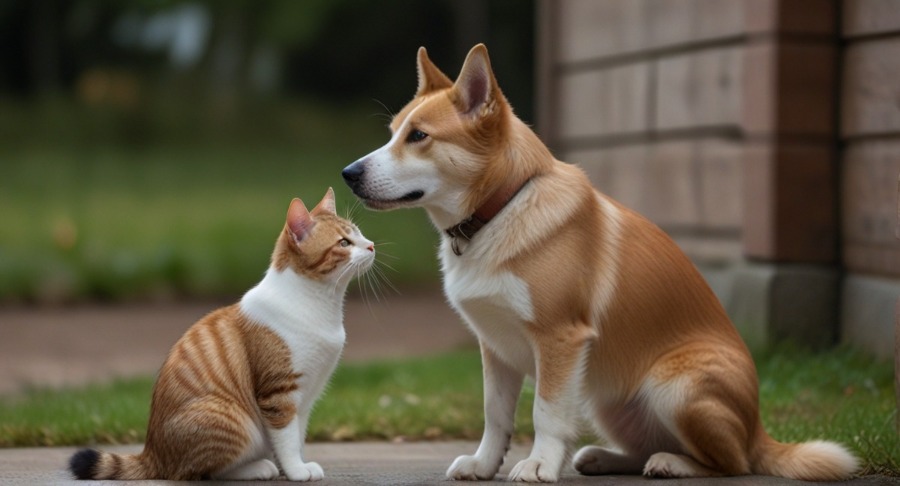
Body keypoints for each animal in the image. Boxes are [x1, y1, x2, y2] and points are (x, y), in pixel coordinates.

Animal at [68, 188, 374, 480]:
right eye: (344, 243)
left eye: (359, 233)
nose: (371, 245)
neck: (318, 302)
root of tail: (152, 454)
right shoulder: (278, 395)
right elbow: (287, 440)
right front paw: (296, 471)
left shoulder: (306, 399)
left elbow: (296, 437)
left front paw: (294, 466)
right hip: (234, 419)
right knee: (196, 472)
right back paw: (257, 468)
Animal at [342, 44, 856, 482]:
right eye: (392, 134)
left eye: (419, 137)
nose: (348, 174)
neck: (502, 208)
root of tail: (758, 430)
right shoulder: (495, 347)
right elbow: (495, 415)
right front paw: (484, 465)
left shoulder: (560, 340)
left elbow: (545, 413)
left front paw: (539, 465)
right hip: (605, 399)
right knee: (647, 447)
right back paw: (606, 458)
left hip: (675, 386)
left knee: (731, 463)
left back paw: (673, 464)